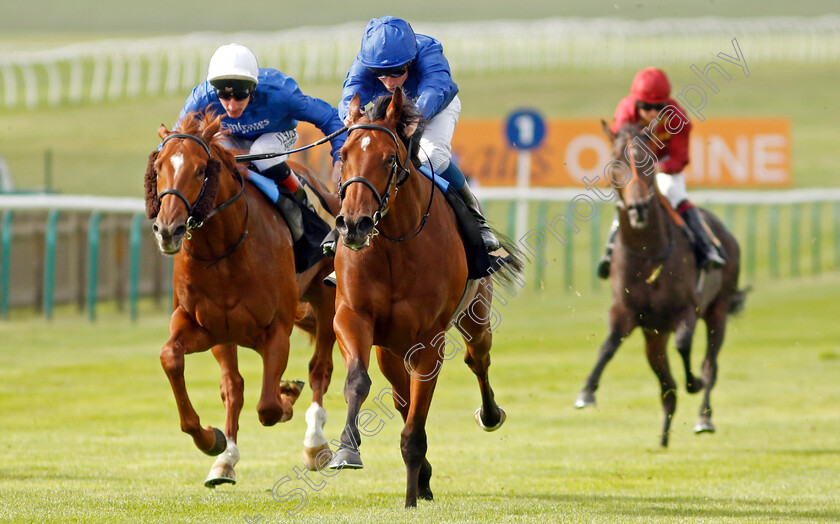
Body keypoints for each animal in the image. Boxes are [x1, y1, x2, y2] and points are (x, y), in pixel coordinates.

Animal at [144, 110, 338, 488]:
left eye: (200, 169)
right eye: (159, 167)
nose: (168, 230)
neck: (224, 250)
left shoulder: (276, 330)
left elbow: (269, 407)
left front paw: (288, 394)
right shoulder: (207, 328)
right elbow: (174, 359)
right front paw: (213, 441)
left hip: (327, 298)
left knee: (320, 368)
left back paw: (315, 443)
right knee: (234, 385)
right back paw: (225, 459)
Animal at [324, 90, 520, 508]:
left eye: (389, 158)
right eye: (343, 154)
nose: (353, 225)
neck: (394, 247)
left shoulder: (430, 341)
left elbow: (416, 423)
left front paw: (411, 497)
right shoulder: (352, 316)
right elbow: (358, 381)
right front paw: (347, 449)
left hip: (474, 316)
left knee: (477, 358)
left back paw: (489, 415)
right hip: (390, 348)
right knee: (400, 395)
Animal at [576, 122, 744, 446]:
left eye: (650, 161)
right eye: (615, 161)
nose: (638, 208)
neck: (648, 252)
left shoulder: (687, 308)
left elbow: (684, 343)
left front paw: (694, 382)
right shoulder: (626, 311)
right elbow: (609, 345)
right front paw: (587, 391)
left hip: (717, 309)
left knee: (710, 365)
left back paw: (704, 417)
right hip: (654, 335)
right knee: (666, 383)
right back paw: (664, 435)